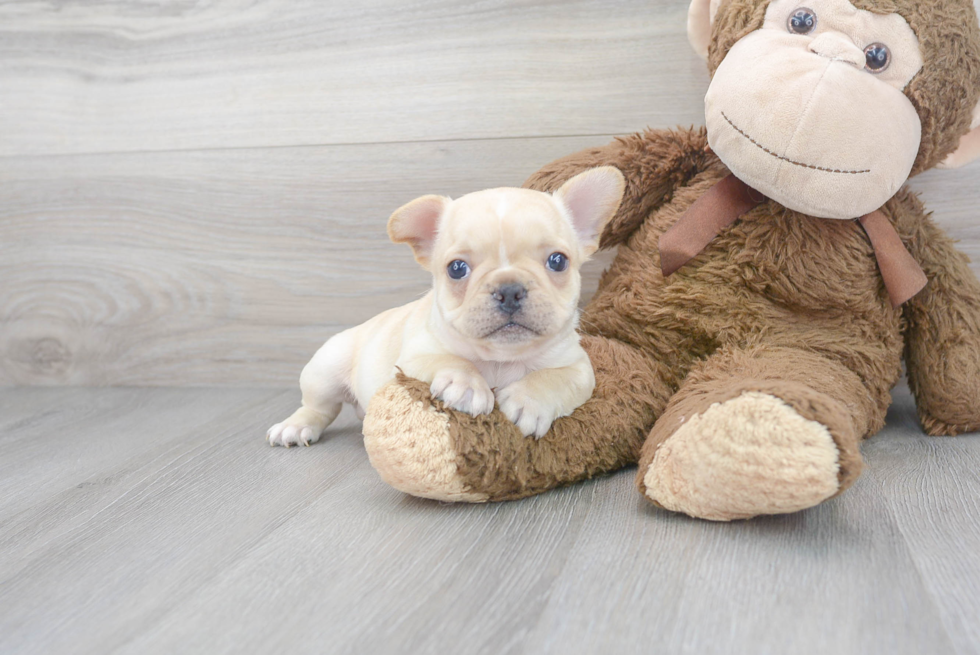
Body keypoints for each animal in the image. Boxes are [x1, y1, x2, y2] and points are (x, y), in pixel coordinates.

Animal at [264, 167, 624, 448]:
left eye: (558, 261)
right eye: (457, 269)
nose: (509, 290)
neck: (500, 358)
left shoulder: (579, 368)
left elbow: (553, 378)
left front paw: (529, 400)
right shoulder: (415, 355)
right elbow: (450, 360)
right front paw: (466, 386)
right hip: (324, 370)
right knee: (319, 408)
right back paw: (295, 426)